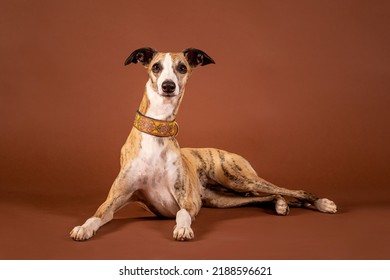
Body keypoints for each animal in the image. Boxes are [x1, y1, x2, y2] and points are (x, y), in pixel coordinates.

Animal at [69, 47, 336, 241]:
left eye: (182, 67)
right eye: (156, 67)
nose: (168, 86)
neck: (157, 132)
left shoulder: (187, 201)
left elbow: (182, 214)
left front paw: (183, 229)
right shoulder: (116, 197)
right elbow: (98, 214)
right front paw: (83, 228)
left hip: (238, 178)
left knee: (293, 191)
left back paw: (322, 203)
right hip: (222, 198)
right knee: (266, 197)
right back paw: (280, 205)